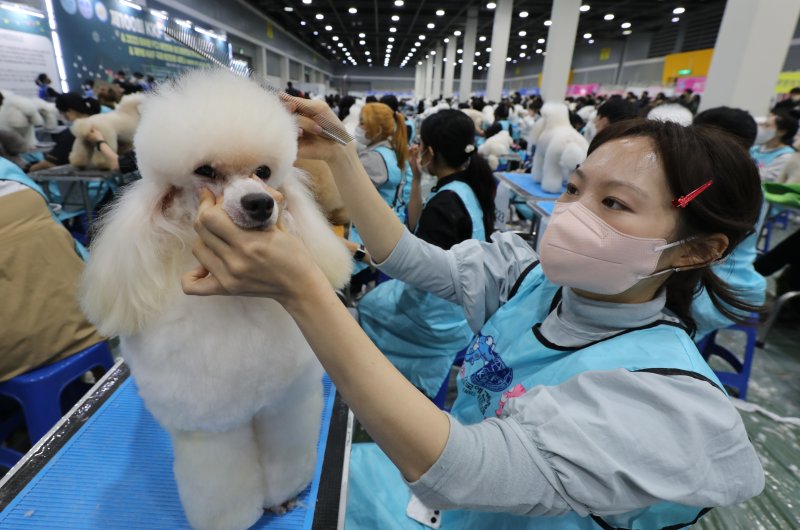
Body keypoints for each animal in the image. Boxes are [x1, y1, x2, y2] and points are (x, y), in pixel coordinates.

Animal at [79, 70, 352, 528]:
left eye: (263, 171)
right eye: (205, 170)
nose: (259, 204)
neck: (238, 299)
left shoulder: (285, 405)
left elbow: (286, 453)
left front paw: (284, 496)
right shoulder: (210, 429)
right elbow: (222, 486)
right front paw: (238, 517)